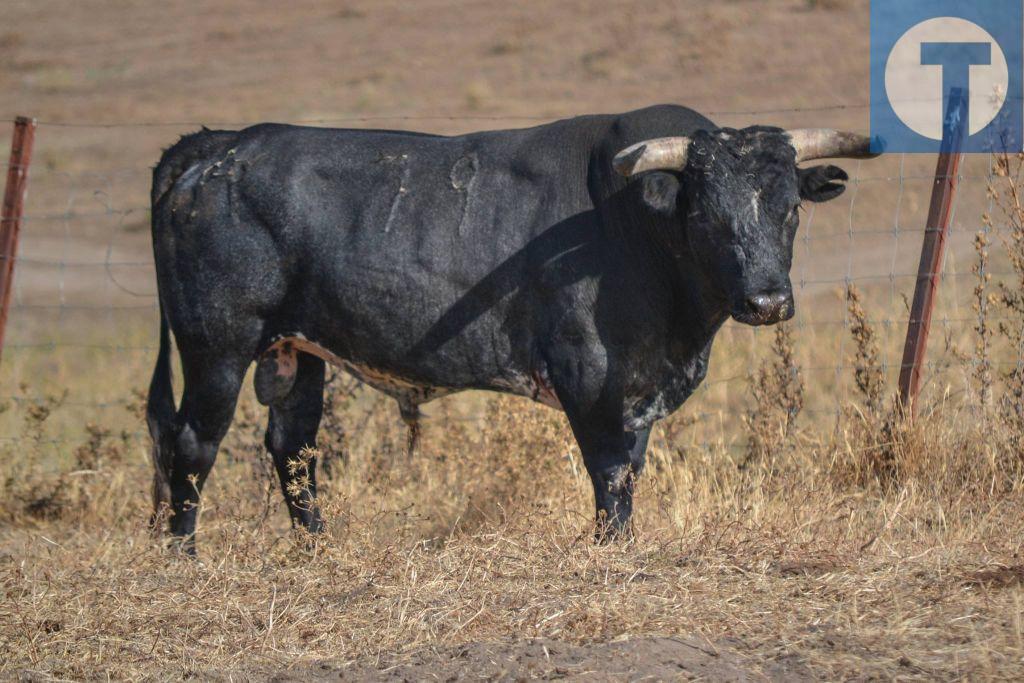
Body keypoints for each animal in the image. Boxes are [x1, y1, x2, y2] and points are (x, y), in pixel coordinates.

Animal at [146, 104, 880, 548]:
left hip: (297, 349)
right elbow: (610, 472)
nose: (766, 301)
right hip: (217, 344)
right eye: (706, 213)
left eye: (790, 207)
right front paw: (612, 549)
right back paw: (184, 552)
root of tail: (222, 144)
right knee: (191, 442)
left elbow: (632, 470)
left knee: (292, 447)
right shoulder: (589, 376)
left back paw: (317, 547)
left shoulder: (639, 389)